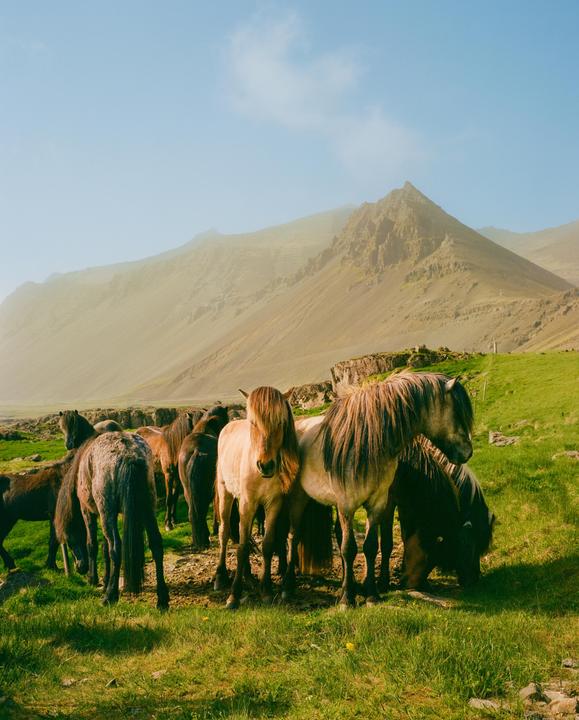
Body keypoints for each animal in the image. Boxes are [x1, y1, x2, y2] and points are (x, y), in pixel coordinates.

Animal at [54, 431, 169, 609]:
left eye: (70, 541)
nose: (80, 568)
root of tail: (129, 455)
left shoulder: (89, 512)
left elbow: (93, 545)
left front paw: (94, 579)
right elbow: (104, 548)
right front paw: (105, 580)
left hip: (107, 512)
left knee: (116, 547)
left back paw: (110, 596)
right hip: (147, 507)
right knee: (156, 543)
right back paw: (162, 598)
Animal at [282, 372, 474, 608]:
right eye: (458, 412)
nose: (467, 452)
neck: (364, 443)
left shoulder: (378, 503)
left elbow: (371, 546)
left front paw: (371, 593)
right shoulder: (348, 505)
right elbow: (348, 548)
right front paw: (347, 599)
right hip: (299, 499)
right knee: (294, 537)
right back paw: (288, 586)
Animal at [379, 437, 495, 590]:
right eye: (468, 545)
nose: (474, 579)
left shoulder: (406, 504)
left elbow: (406, 536)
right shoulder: (388, 502)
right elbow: (386, 544)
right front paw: (383, 583)